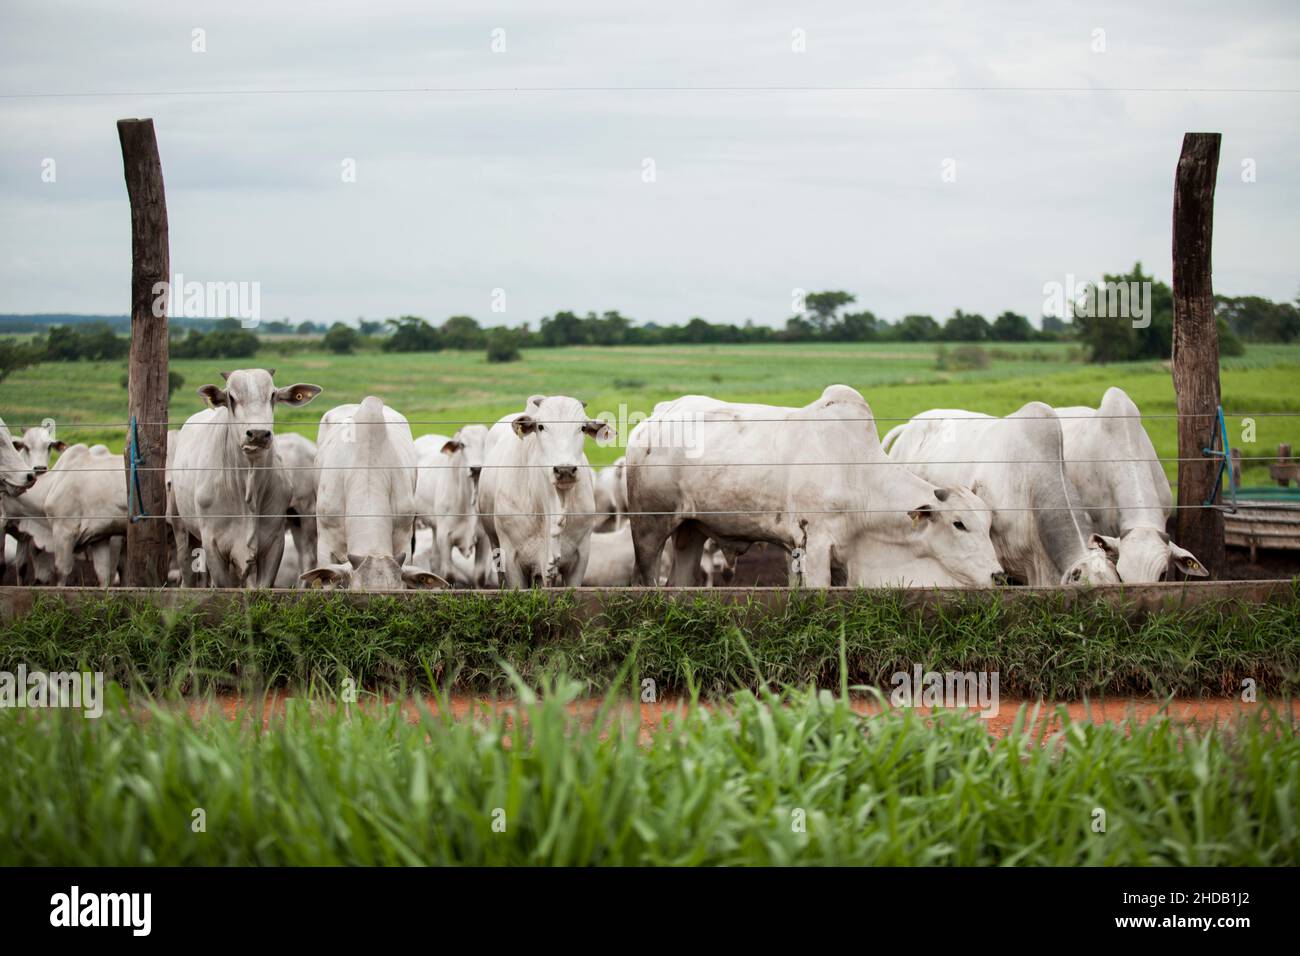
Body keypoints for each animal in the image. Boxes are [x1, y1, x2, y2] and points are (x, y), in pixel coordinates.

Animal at [168, 368, 322, 587]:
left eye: (273, 395)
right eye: (231, 397)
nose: (258, 434)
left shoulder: (274, 544)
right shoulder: (212, 544)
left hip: (304, 515)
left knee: (307, 558)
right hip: (181, 528)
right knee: (187, 576)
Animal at [477, 395, 614, 587]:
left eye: (582, 427)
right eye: (541, 426)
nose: (565, 470)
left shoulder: (581, 557)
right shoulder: (511, 557)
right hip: (494, 542)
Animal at [626, 385, 1004, 588]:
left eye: (988, 525)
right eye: (959, 524)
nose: (998, 576)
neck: (856, 473)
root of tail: (657, 415)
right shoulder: (816, 545)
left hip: (691, 529)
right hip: (649, 529)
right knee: (645, 580)